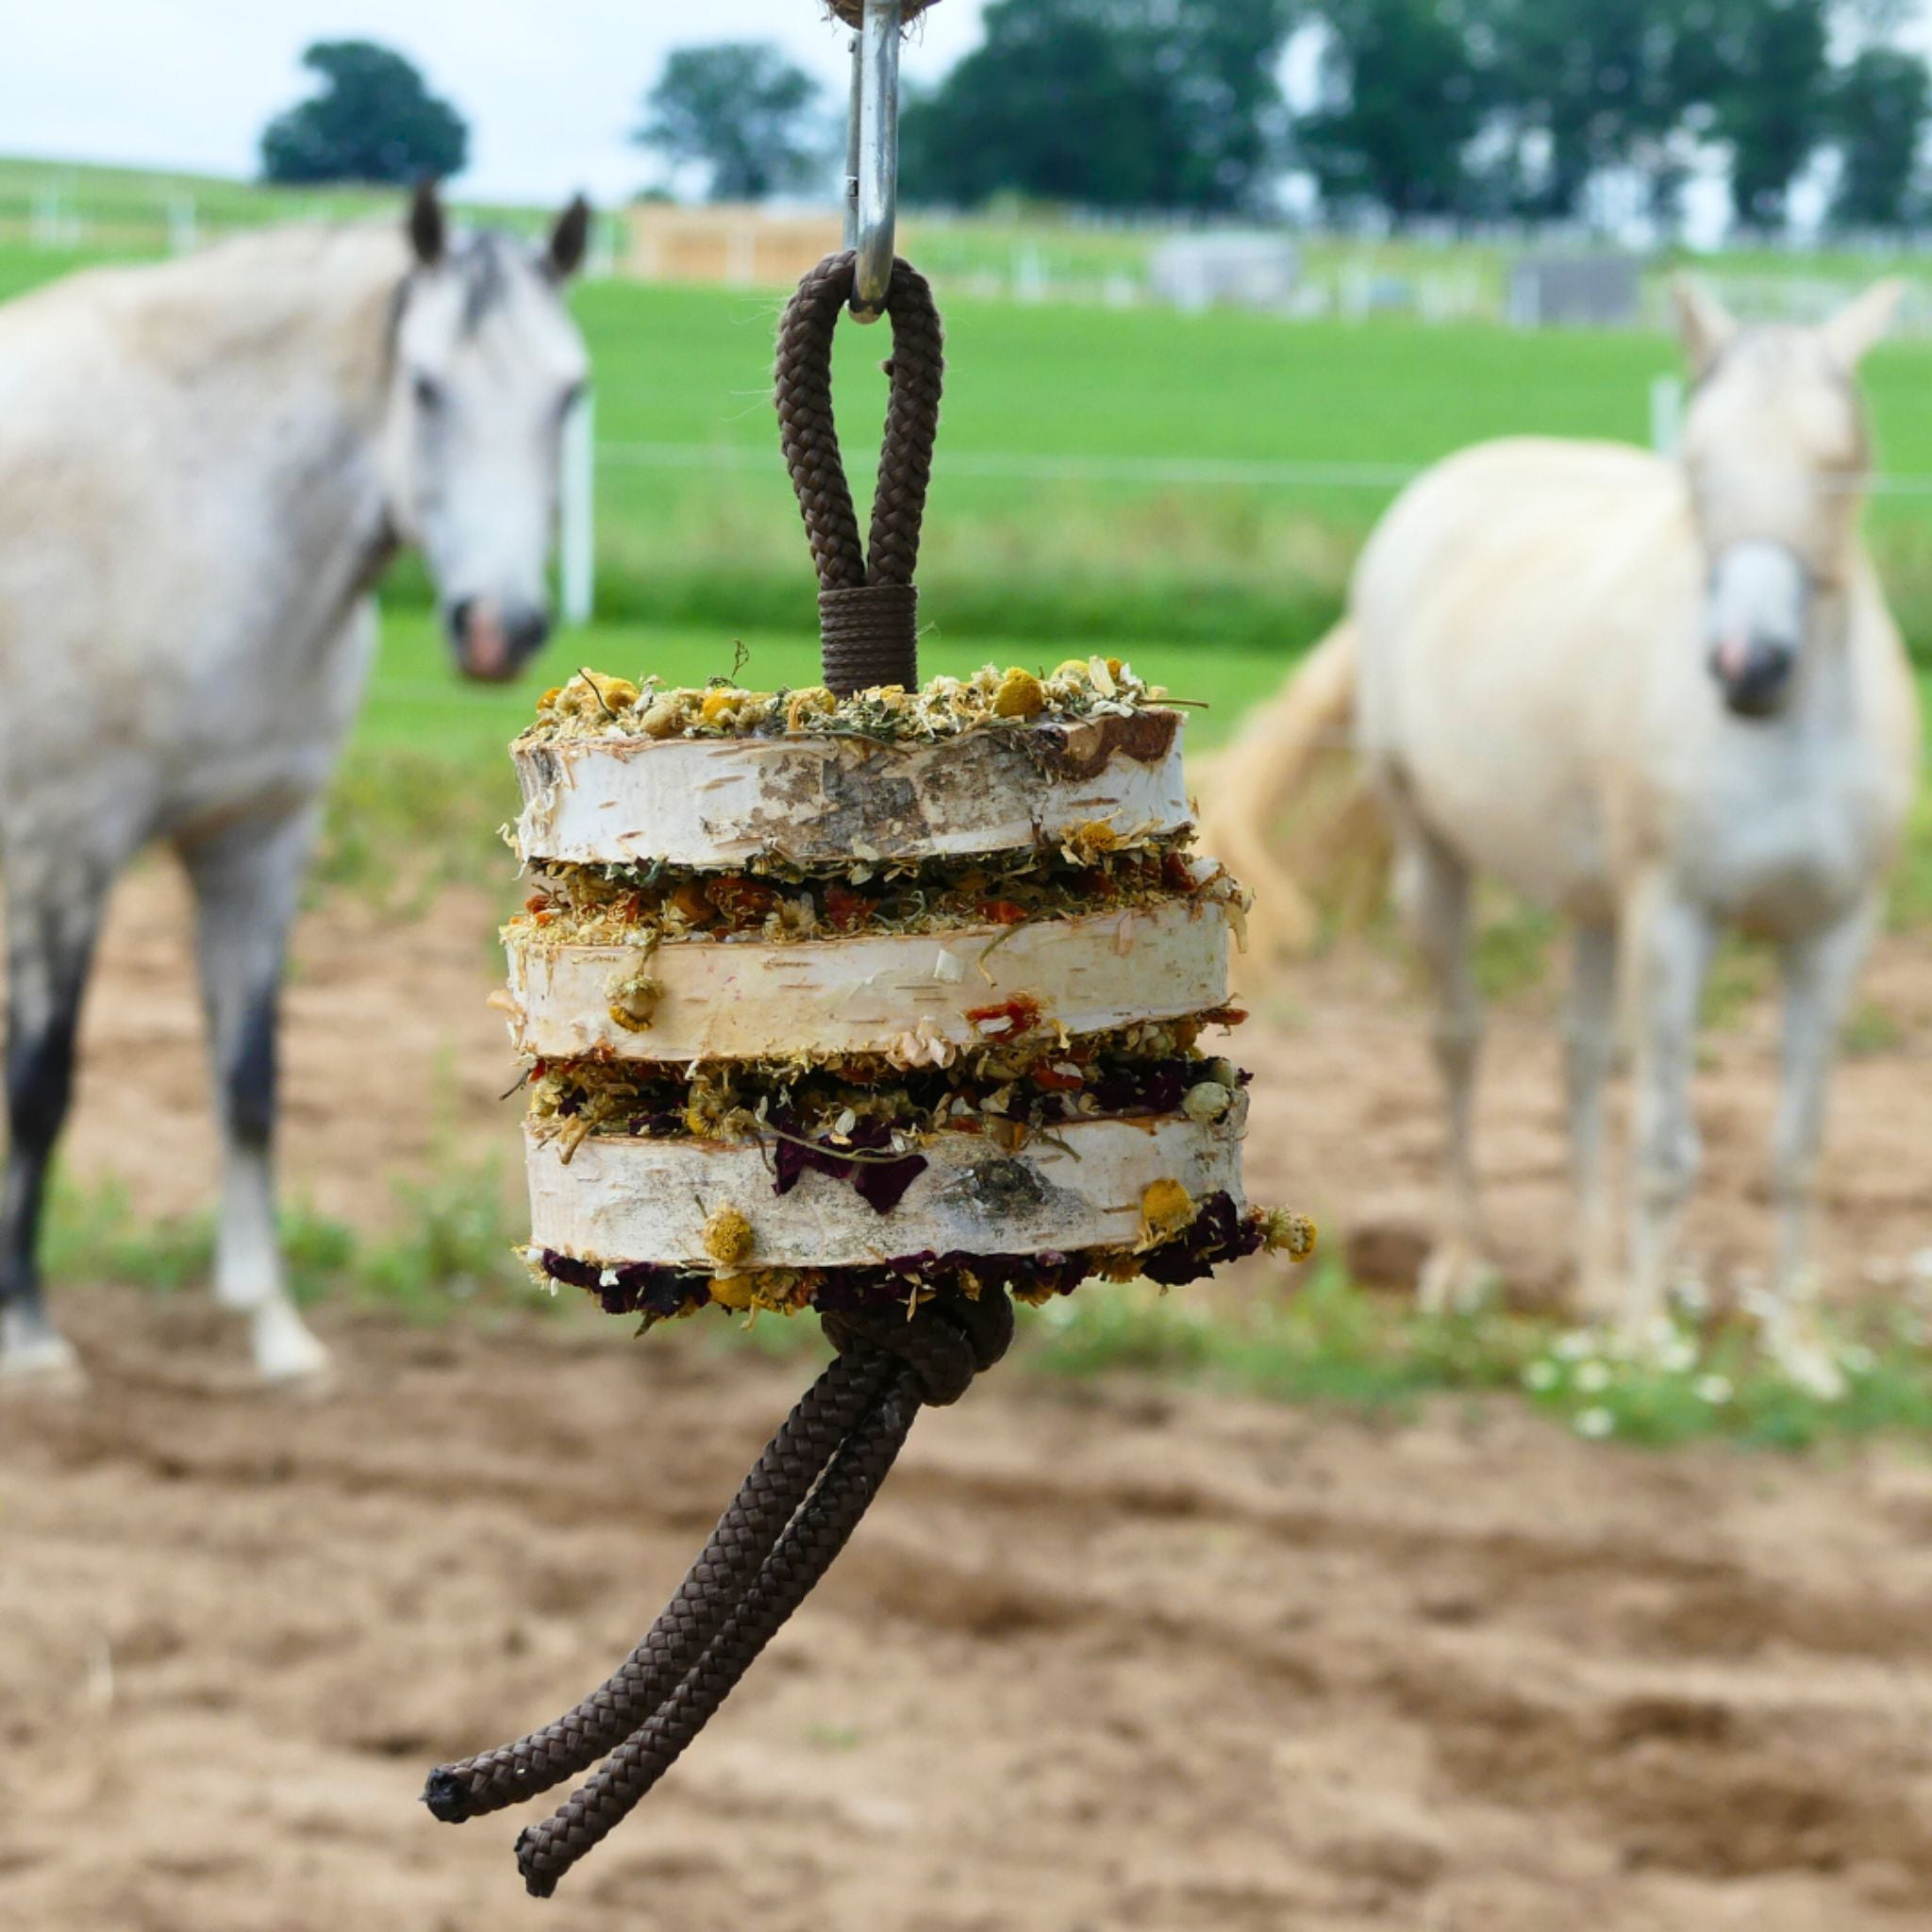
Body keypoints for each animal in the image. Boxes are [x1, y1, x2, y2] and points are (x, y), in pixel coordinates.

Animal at [0, 184, 587, 1391]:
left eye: (568, 393)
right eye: (426, 386)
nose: (499, 627)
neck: (184, 511)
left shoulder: (256, 845)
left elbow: (251, 1077)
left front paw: (270, 1321)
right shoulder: (59, 852)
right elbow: (40, 1084)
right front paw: (27, 1329)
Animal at [1205, 279, 1916, 1391]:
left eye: (1838, 458)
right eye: (1697, 463)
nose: (1748, 665)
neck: (1786, 736)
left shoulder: (1832, 935)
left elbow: (1797, 1147)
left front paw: (1798, 1349)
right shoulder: (1674, 920)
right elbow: (1666, 1146)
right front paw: (1646, 1343)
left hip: (1596, 908)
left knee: (1581, 1063)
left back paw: (1591, 1283)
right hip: (1437, 863)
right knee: (1458, 1046)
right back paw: (1461, 1267)